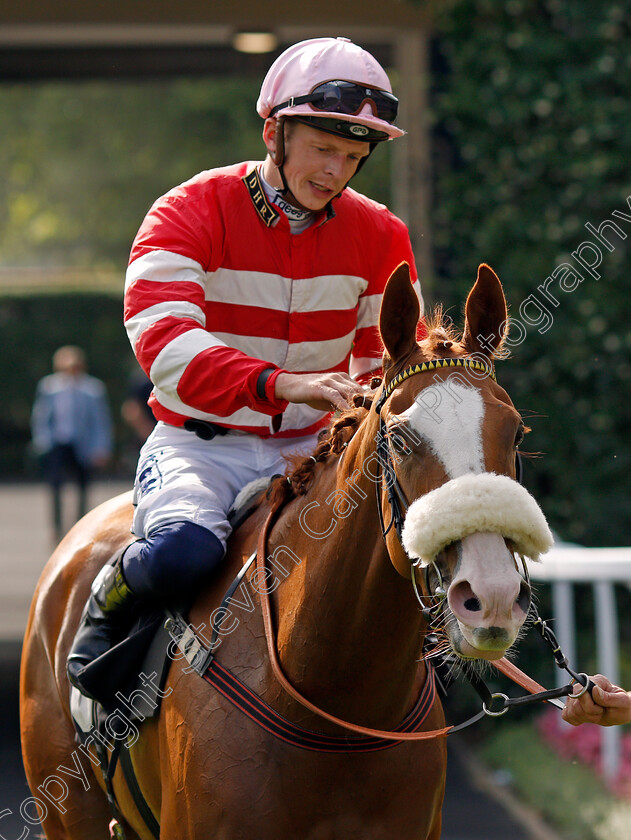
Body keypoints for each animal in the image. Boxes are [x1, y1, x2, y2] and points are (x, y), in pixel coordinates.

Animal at [21, 264, 552, 840]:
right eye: (401, 439)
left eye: (515, 432)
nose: (492, 594)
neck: (338, 704)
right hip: (68, 808)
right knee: (176, 546)